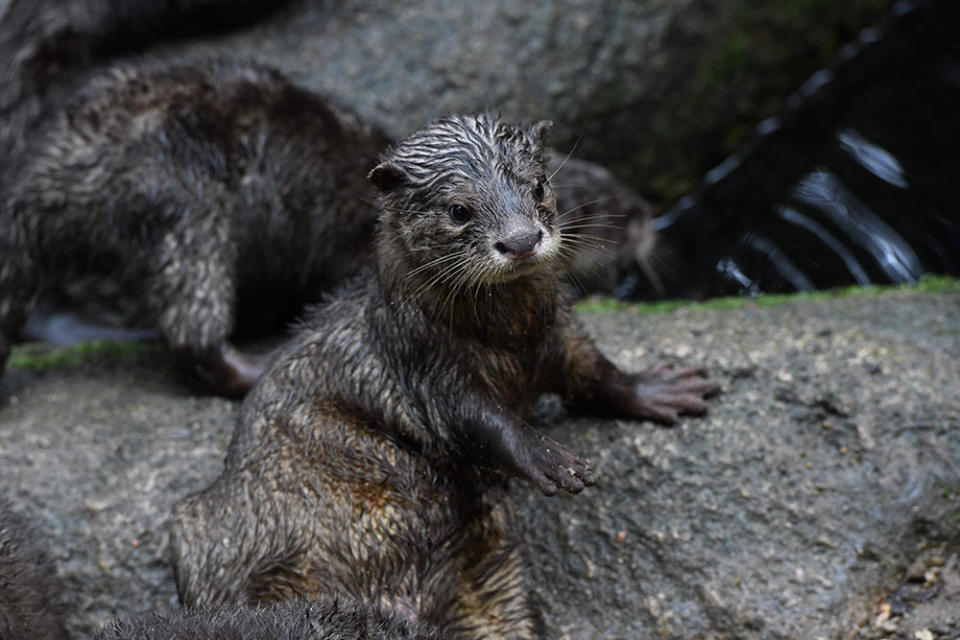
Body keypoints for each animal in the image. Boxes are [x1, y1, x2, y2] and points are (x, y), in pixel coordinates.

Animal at [169, 112, 716, 636]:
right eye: (458, 210)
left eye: (539, 185)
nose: (521, 240)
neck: (510, 343)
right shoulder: (427, 367)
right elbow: (479, 422)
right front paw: (547, 457)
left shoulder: (560, 335)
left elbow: (594, 375)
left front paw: (659, 389)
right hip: (209, 539)